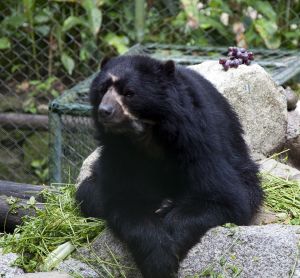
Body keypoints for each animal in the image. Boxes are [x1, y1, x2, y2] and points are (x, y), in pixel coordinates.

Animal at [76, 54, 264, 278]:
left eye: (129, 93)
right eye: (102, 89)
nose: (105, 111)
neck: (147, 134)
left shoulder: (196, 140)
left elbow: (221, 198)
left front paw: (169, 252)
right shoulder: (119, 155)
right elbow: (125, 201)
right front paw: (158, 260)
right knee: (88, 193)